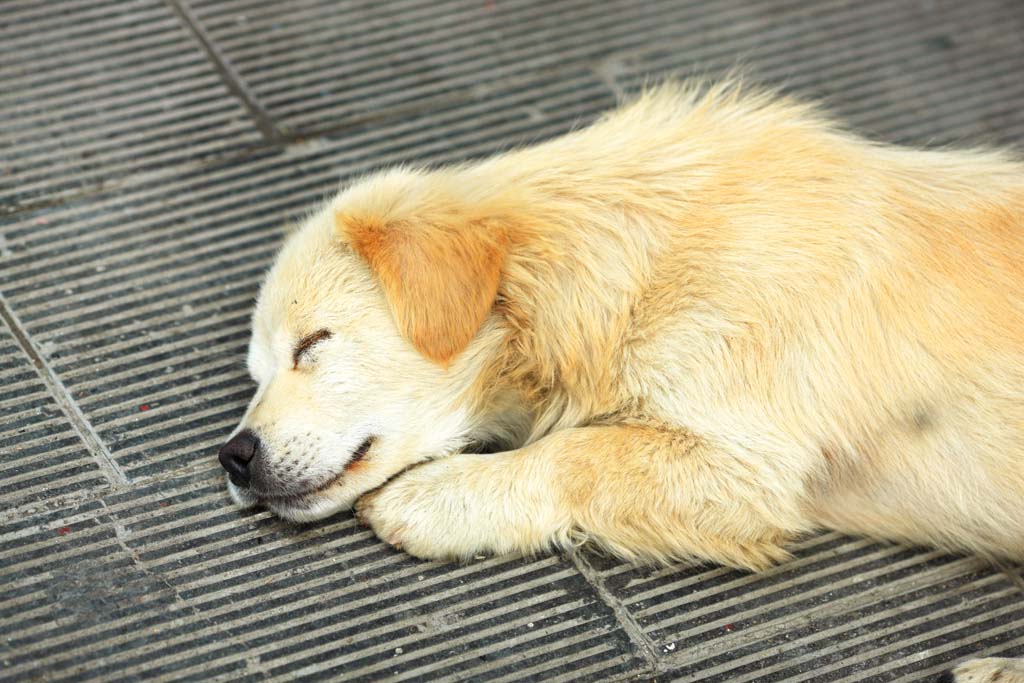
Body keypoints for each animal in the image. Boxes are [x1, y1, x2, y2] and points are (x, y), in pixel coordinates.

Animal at [220, 81, 1024, 679]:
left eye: (314, 344)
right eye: (258, 371)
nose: (234, 457)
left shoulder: (747, 467)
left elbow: (575, 451)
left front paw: (440, 496)